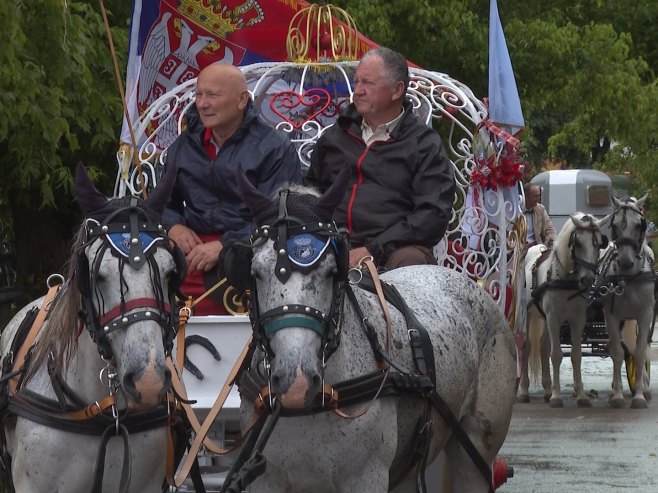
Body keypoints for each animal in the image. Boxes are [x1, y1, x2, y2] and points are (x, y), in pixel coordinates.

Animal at [223, 176, 516, 492]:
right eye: (255, 271)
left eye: (331, 271)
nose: (296, 382)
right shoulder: (266, 480)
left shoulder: (366, 477)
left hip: (475, 449)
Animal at [524, 212, 608, 408]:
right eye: (577, 243)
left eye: (598, 244)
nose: (587, 280)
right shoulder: (554, 318)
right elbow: (556, 355)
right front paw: (556, 397)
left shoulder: (577, 319)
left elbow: (576, 355)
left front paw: (581, 395)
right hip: (527, 315)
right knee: (526, 346)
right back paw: (524, 391)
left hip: (544, 318)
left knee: (543, 346)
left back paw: (547, 390)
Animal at [596, 195, 652, 408]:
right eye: (615, 226)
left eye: (639, 225)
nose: (626, 262)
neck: (628, 277)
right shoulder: (611, 315)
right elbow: (618, 353)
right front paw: (618, 396)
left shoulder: (645, 315)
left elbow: (640, 351)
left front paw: (639, 396)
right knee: (616, 348)